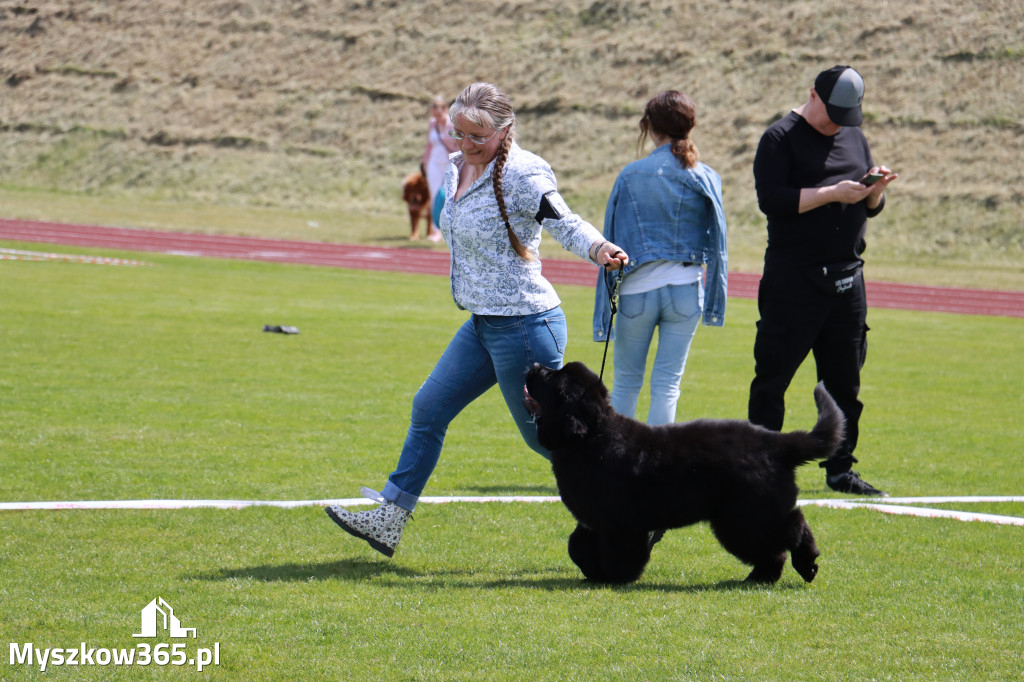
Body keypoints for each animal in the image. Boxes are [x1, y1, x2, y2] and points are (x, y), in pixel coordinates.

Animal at [524, 360, 843, 585]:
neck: (591, 437)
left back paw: (807, 563)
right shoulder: (594, 521)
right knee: (774, 549)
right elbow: (576, 545)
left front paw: (617, 577)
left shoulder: (621, 523)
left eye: (551, 378)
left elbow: (620, 552)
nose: (534, 365)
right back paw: (759, 578)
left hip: (746, 515)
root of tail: (775, 442)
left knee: (793, 525)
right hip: (737, 522)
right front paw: (594, 571)